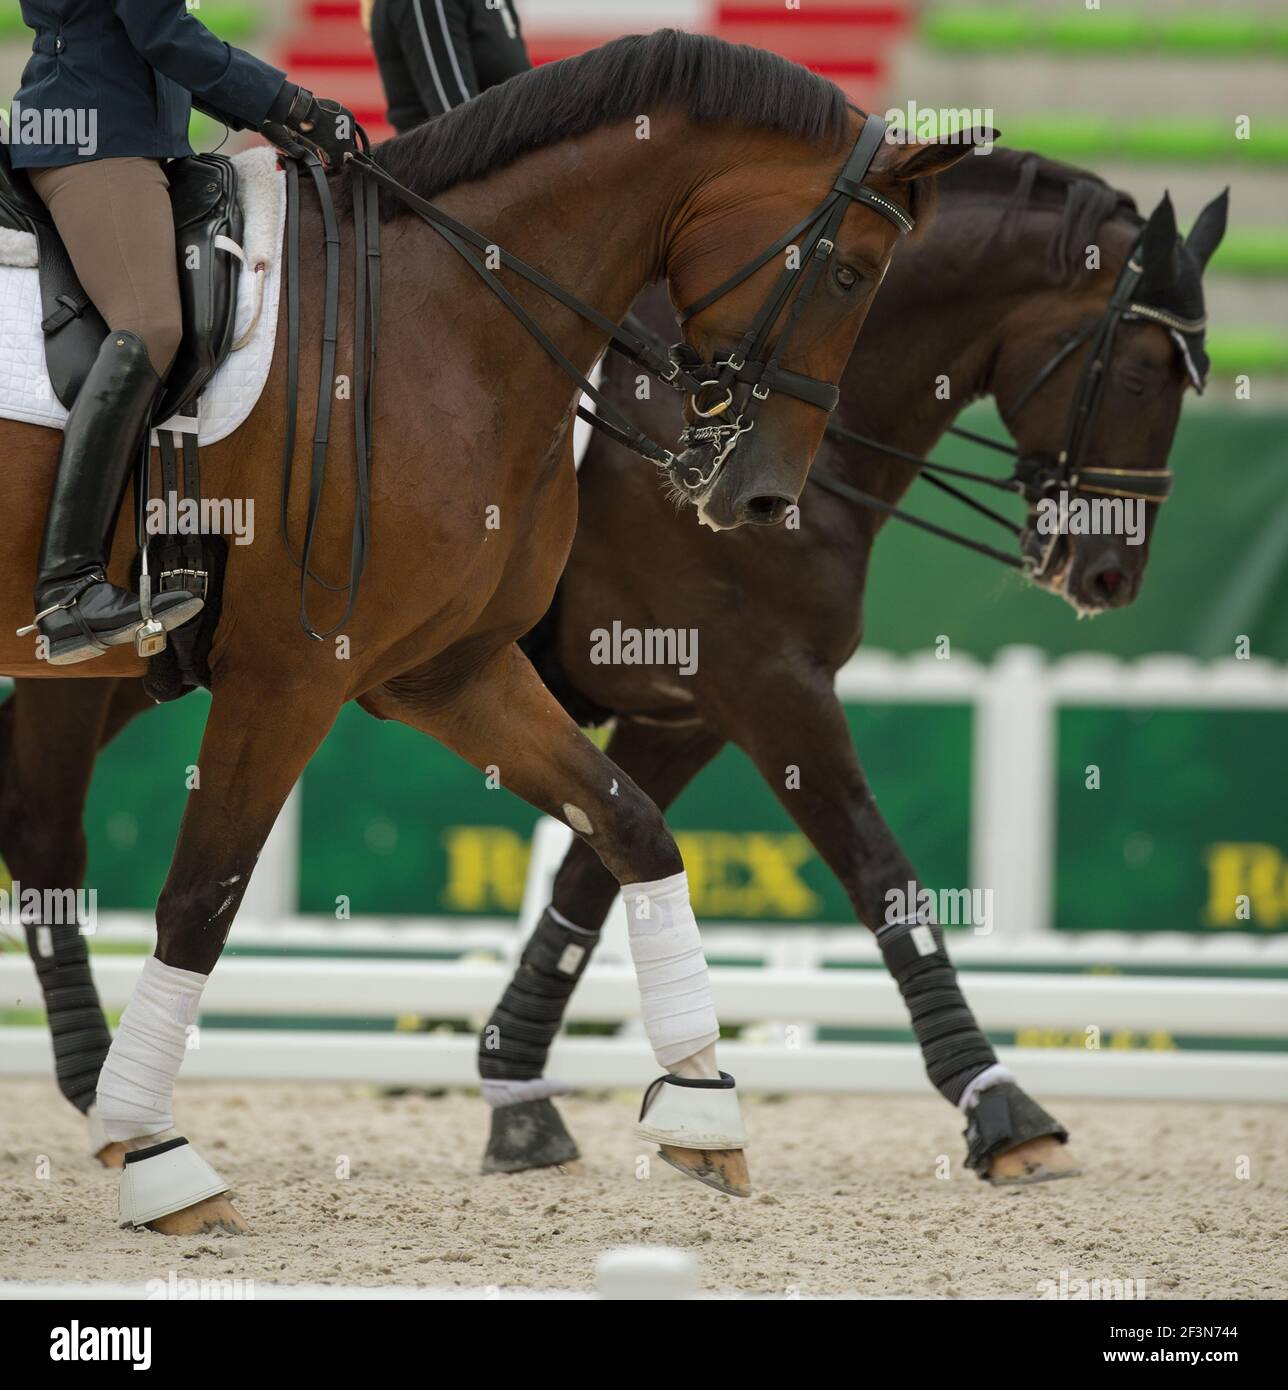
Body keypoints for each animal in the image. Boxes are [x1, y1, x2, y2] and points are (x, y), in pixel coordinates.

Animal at [0, 29, 972, 1228]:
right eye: (848, 272)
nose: (760, 499)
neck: (443, 321)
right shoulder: (291, 677)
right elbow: (199, 901)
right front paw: (162, 1156)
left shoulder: (452, 671)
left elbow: (629, 829)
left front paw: (700, 1106)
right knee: (50, 835)